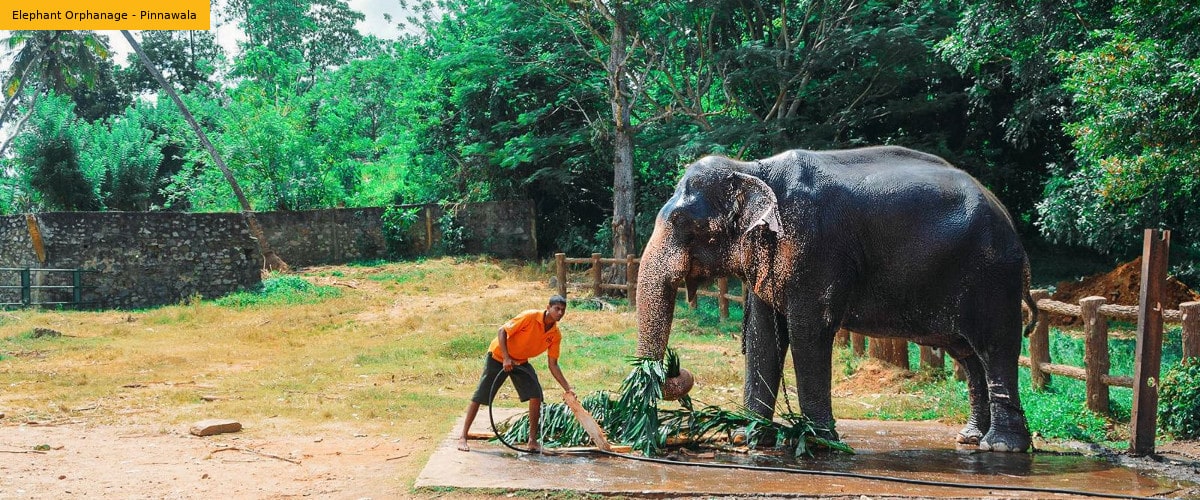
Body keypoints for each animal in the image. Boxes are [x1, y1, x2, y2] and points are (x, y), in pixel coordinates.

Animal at [633, 143, 1036, 450]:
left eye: (687, 224)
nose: (675, 368)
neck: (753, 168)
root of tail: (1007, 217)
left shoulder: (814, 248)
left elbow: (808, 333)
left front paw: (818, 443)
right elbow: (763, 336)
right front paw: (749, 438)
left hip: (992, 276)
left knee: (995, 348)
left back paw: (1001, 447)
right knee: (968, 356)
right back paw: (971, 439)